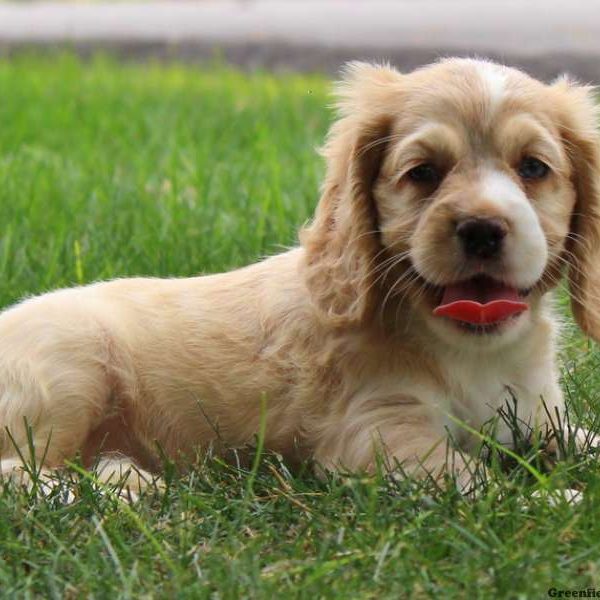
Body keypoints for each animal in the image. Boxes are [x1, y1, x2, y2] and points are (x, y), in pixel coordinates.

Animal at [1, 58, 600, 494]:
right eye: (423, 173)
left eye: (533, 168)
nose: (481, 229)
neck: (468, 350)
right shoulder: (379, 435)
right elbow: (476, 481)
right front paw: (557, 503)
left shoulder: (530, 416)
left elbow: (581, 438)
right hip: (69, 370)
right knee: (19, 476)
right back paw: (115, 493)